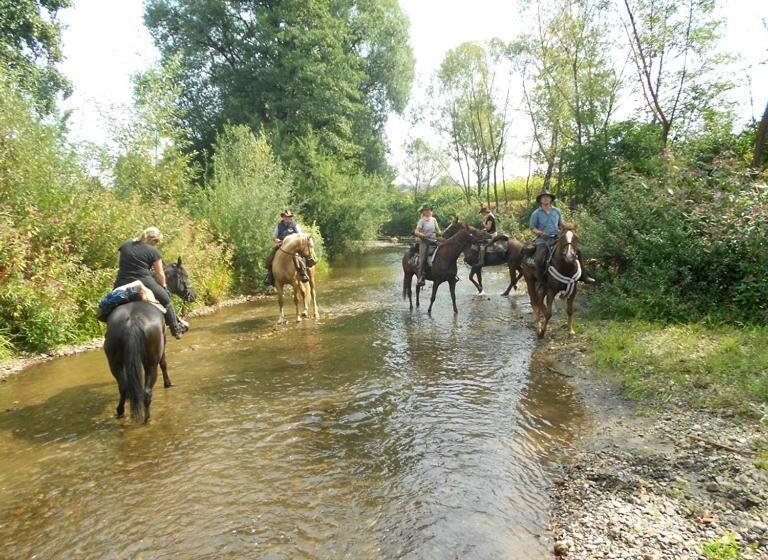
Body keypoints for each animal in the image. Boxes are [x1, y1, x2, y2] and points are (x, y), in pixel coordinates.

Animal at [103, 258, 195, 424]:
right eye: (185, 275)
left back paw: (120, 411)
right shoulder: (163, 342)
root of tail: (132, 320)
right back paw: (146, 419)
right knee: (147, 391)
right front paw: (168, 384)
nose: (193, 295)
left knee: (123, 386)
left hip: (114, 361)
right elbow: (164, 363)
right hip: (150, 363)